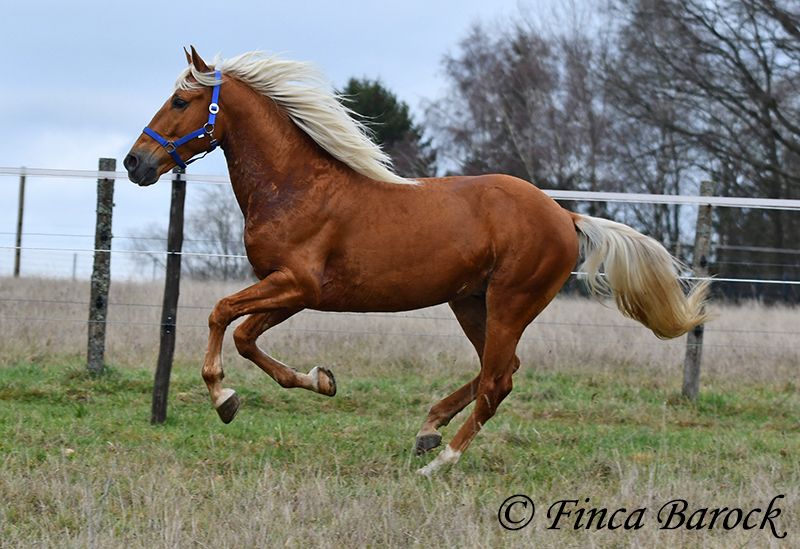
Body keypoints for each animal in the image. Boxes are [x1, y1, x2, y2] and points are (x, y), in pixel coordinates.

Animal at [124, 47, 708, 476]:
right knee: (502, 370)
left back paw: (441, 460)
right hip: (470, 302)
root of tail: (564, 215)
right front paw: (322, 380)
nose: (135, 163)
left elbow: (222, 314)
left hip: (511, 301)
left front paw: (224, 396)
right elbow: (247, 336)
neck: (296, 188)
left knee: (497, 381)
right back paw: (429, 430)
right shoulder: (290, 289)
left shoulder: (297, 285)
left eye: (180, 101)